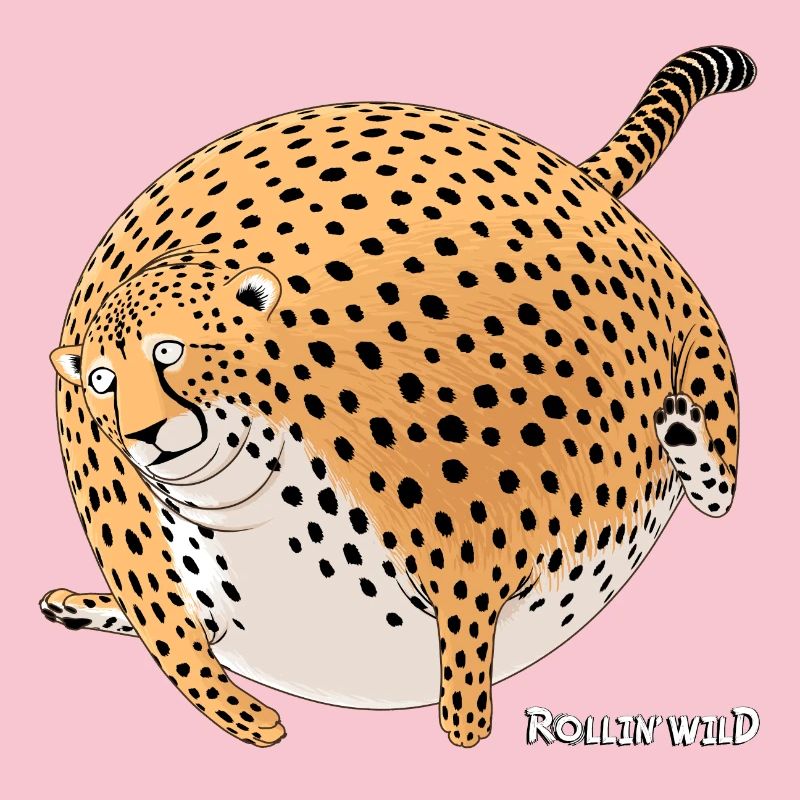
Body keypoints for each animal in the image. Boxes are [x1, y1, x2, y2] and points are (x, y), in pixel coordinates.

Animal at [43, 45, 755, 748]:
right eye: (102, 381)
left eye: (169, 351)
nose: (144, 436)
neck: (249, 493)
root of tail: (574, 174)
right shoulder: (187, 603)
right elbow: (174, 641)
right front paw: (251, 718)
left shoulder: (478, 563)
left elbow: (463, 679)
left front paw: (464, 727)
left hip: (702, 350)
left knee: (718, 486)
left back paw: (686, 436)